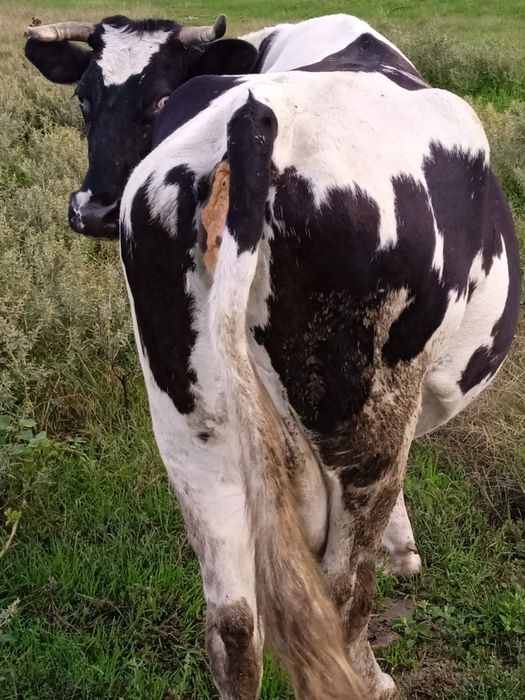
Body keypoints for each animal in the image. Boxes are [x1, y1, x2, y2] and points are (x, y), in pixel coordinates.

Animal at [25, 13, 521, 700]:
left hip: (190, 432)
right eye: (84, 97)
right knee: (343, 596)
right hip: (364, 421)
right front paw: (405, 550)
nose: (90, 207)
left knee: (234, 627)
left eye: (157, 98)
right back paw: (374, 674)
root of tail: (250, 122)